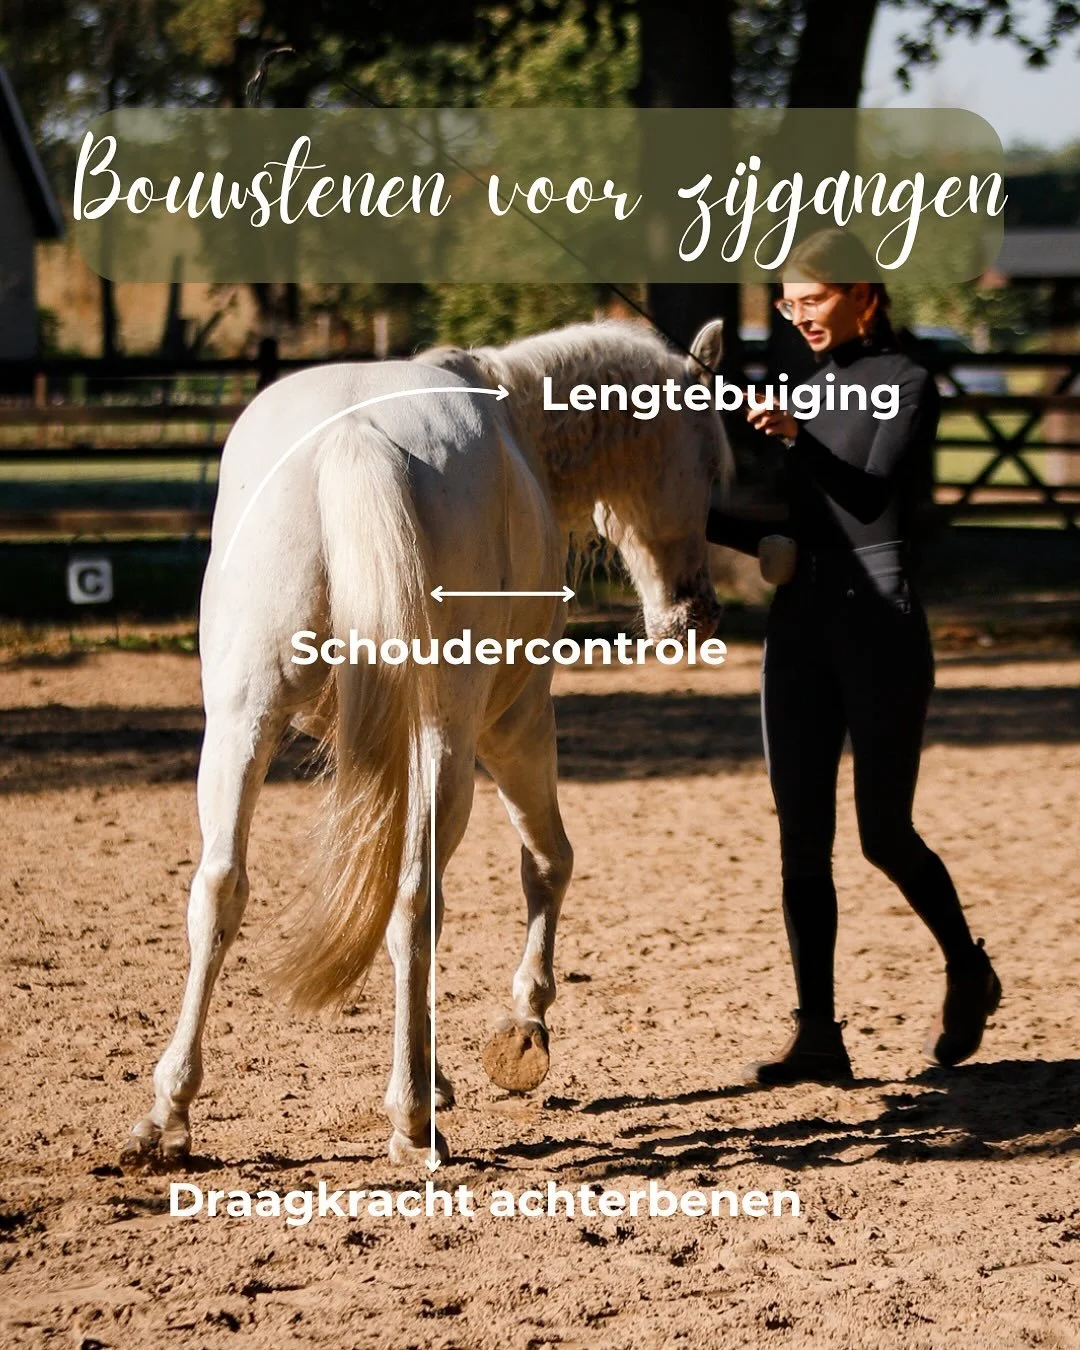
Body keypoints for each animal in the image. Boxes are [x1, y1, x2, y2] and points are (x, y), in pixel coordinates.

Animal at [122, 317, 732, 1168]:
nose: (694, 614)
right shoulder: (514, 725)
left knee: (220, 890)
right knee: (417, 902)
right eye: (711, 464)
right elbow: (548, 861)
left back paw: (169, 1115)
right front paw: (522, 1031)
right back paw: (412, 1118)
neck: (517, 416)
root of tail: (350, 439)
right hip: (451, 742)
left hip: (243, 726)